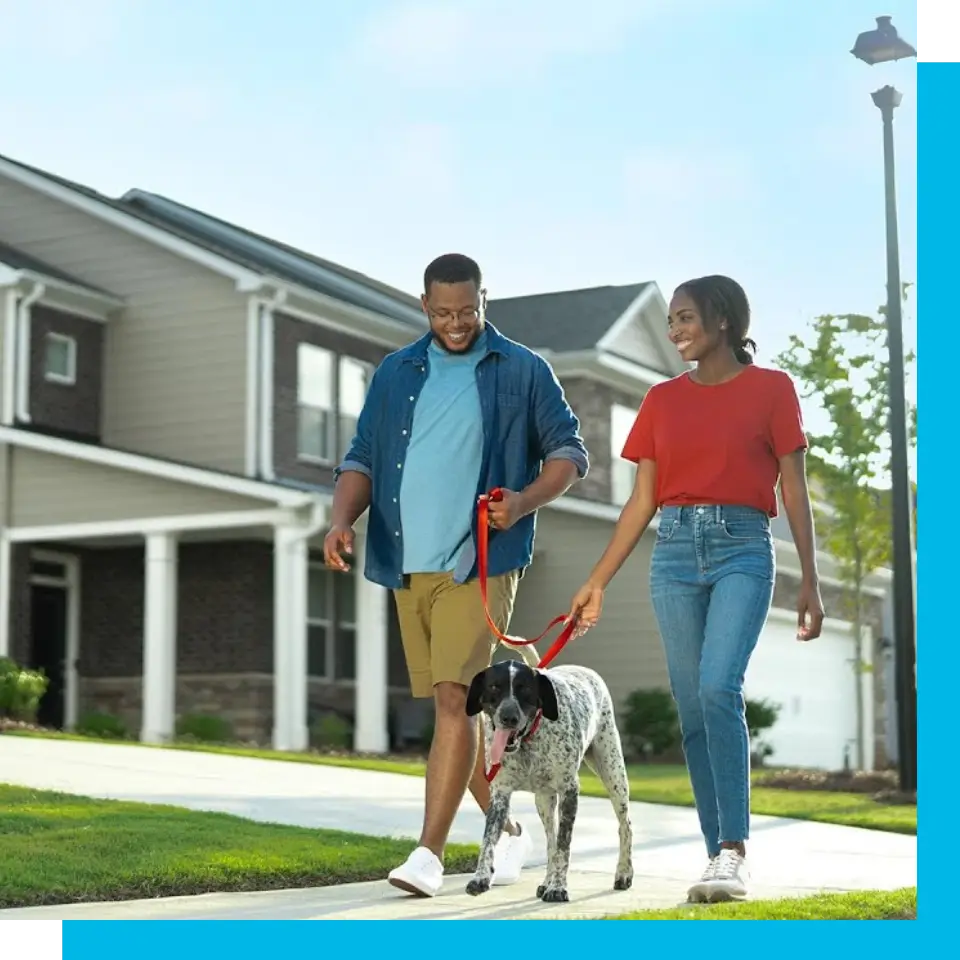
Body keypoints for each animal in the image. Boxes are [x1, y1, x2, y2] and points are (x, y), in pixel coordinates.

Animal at [464, 660, 632, 900]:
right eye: (494, 687)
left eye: (525, 688)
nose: (509, 717)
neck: (527, 743)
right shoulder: (499, 795)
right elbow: (488, 840)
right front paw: (481, 877)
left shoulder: (569, 790)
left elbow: (564, 845)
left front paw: (559, 887)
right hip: (543, 801)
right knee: (550, 841)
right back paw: (546, 881)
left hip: (613, 774)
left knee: (624, 826)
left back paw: (624, 872)